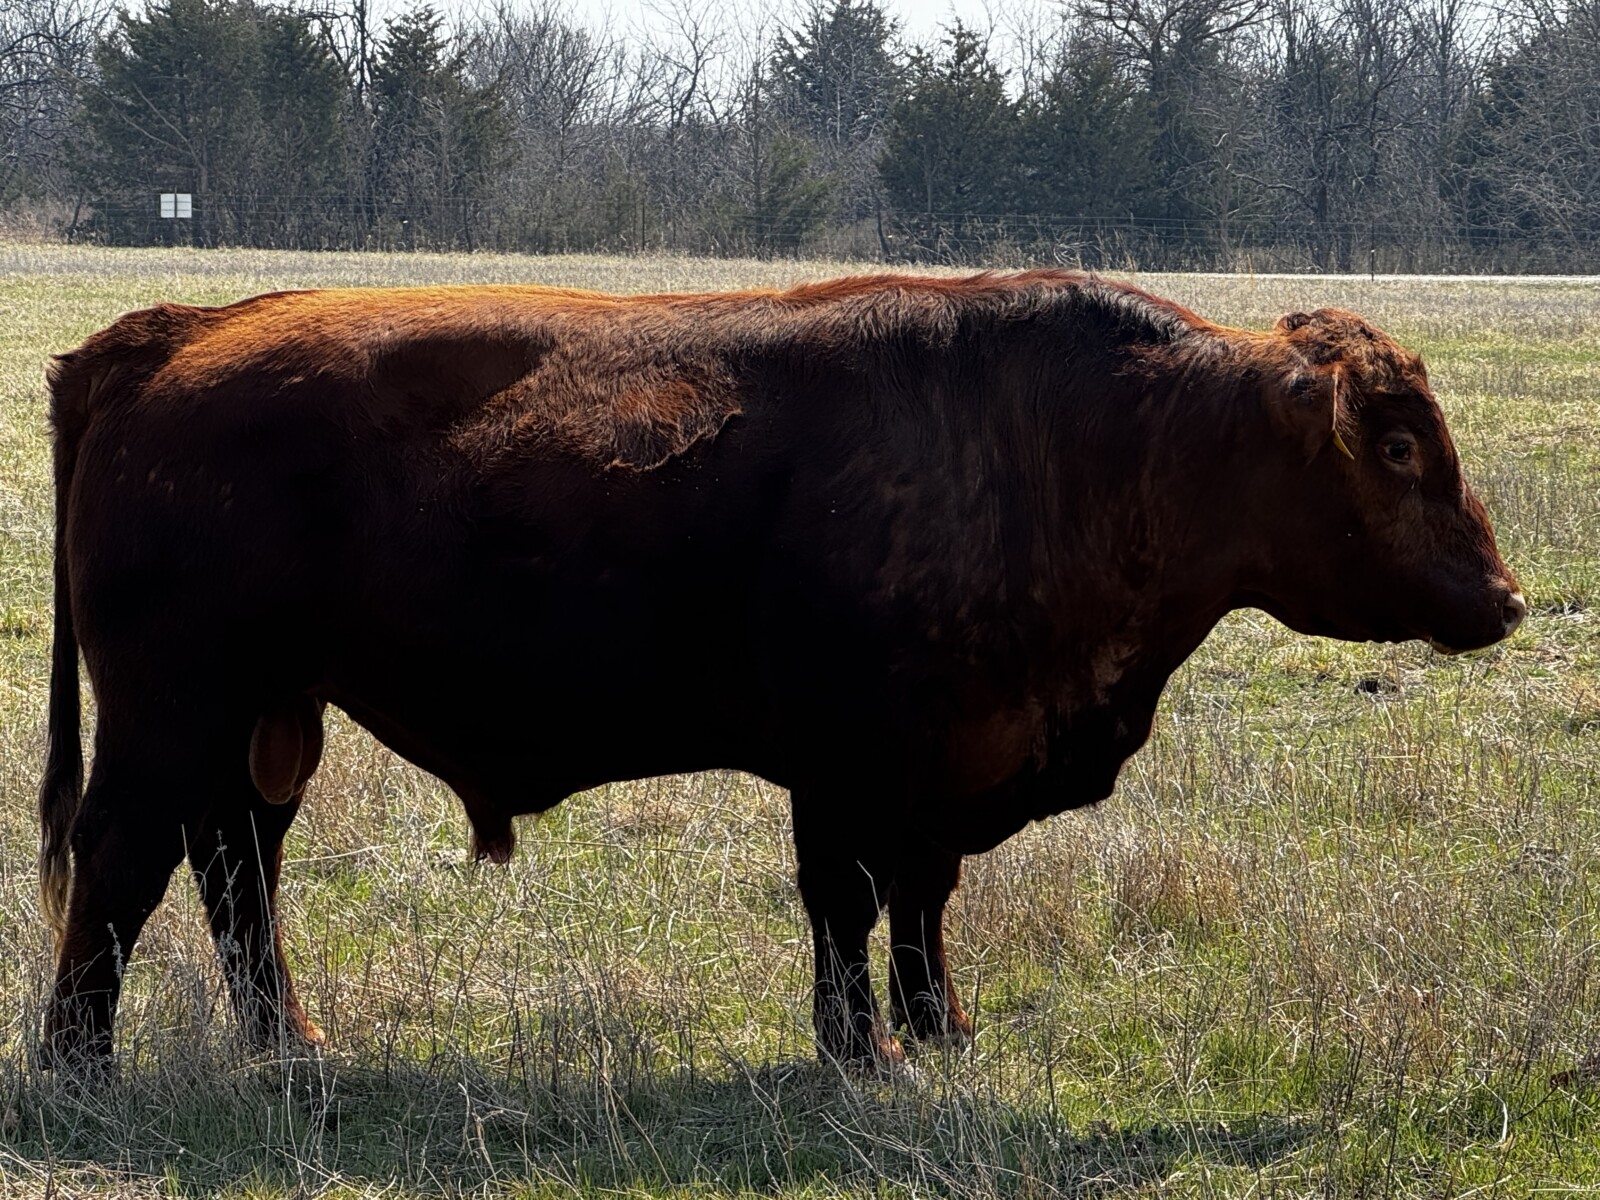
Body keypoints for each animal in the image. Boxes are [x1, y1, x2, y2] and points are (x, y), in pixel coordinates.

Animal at [37, 271, 1524, 1071]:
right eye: (1397, 446)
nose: (1505, 600)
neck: (1096, 439)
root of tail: (170, 336)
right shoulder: (849, 768)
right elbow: (847, 906)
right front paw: (863, 1050)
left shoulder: (937, 772)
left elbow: (922, 903)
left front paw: (940, 1031)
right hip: (171, 714)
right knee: (124, 865)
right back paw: (77, 1062)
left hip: (265, 720)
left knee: (236, 867)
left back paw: (291, 1046)